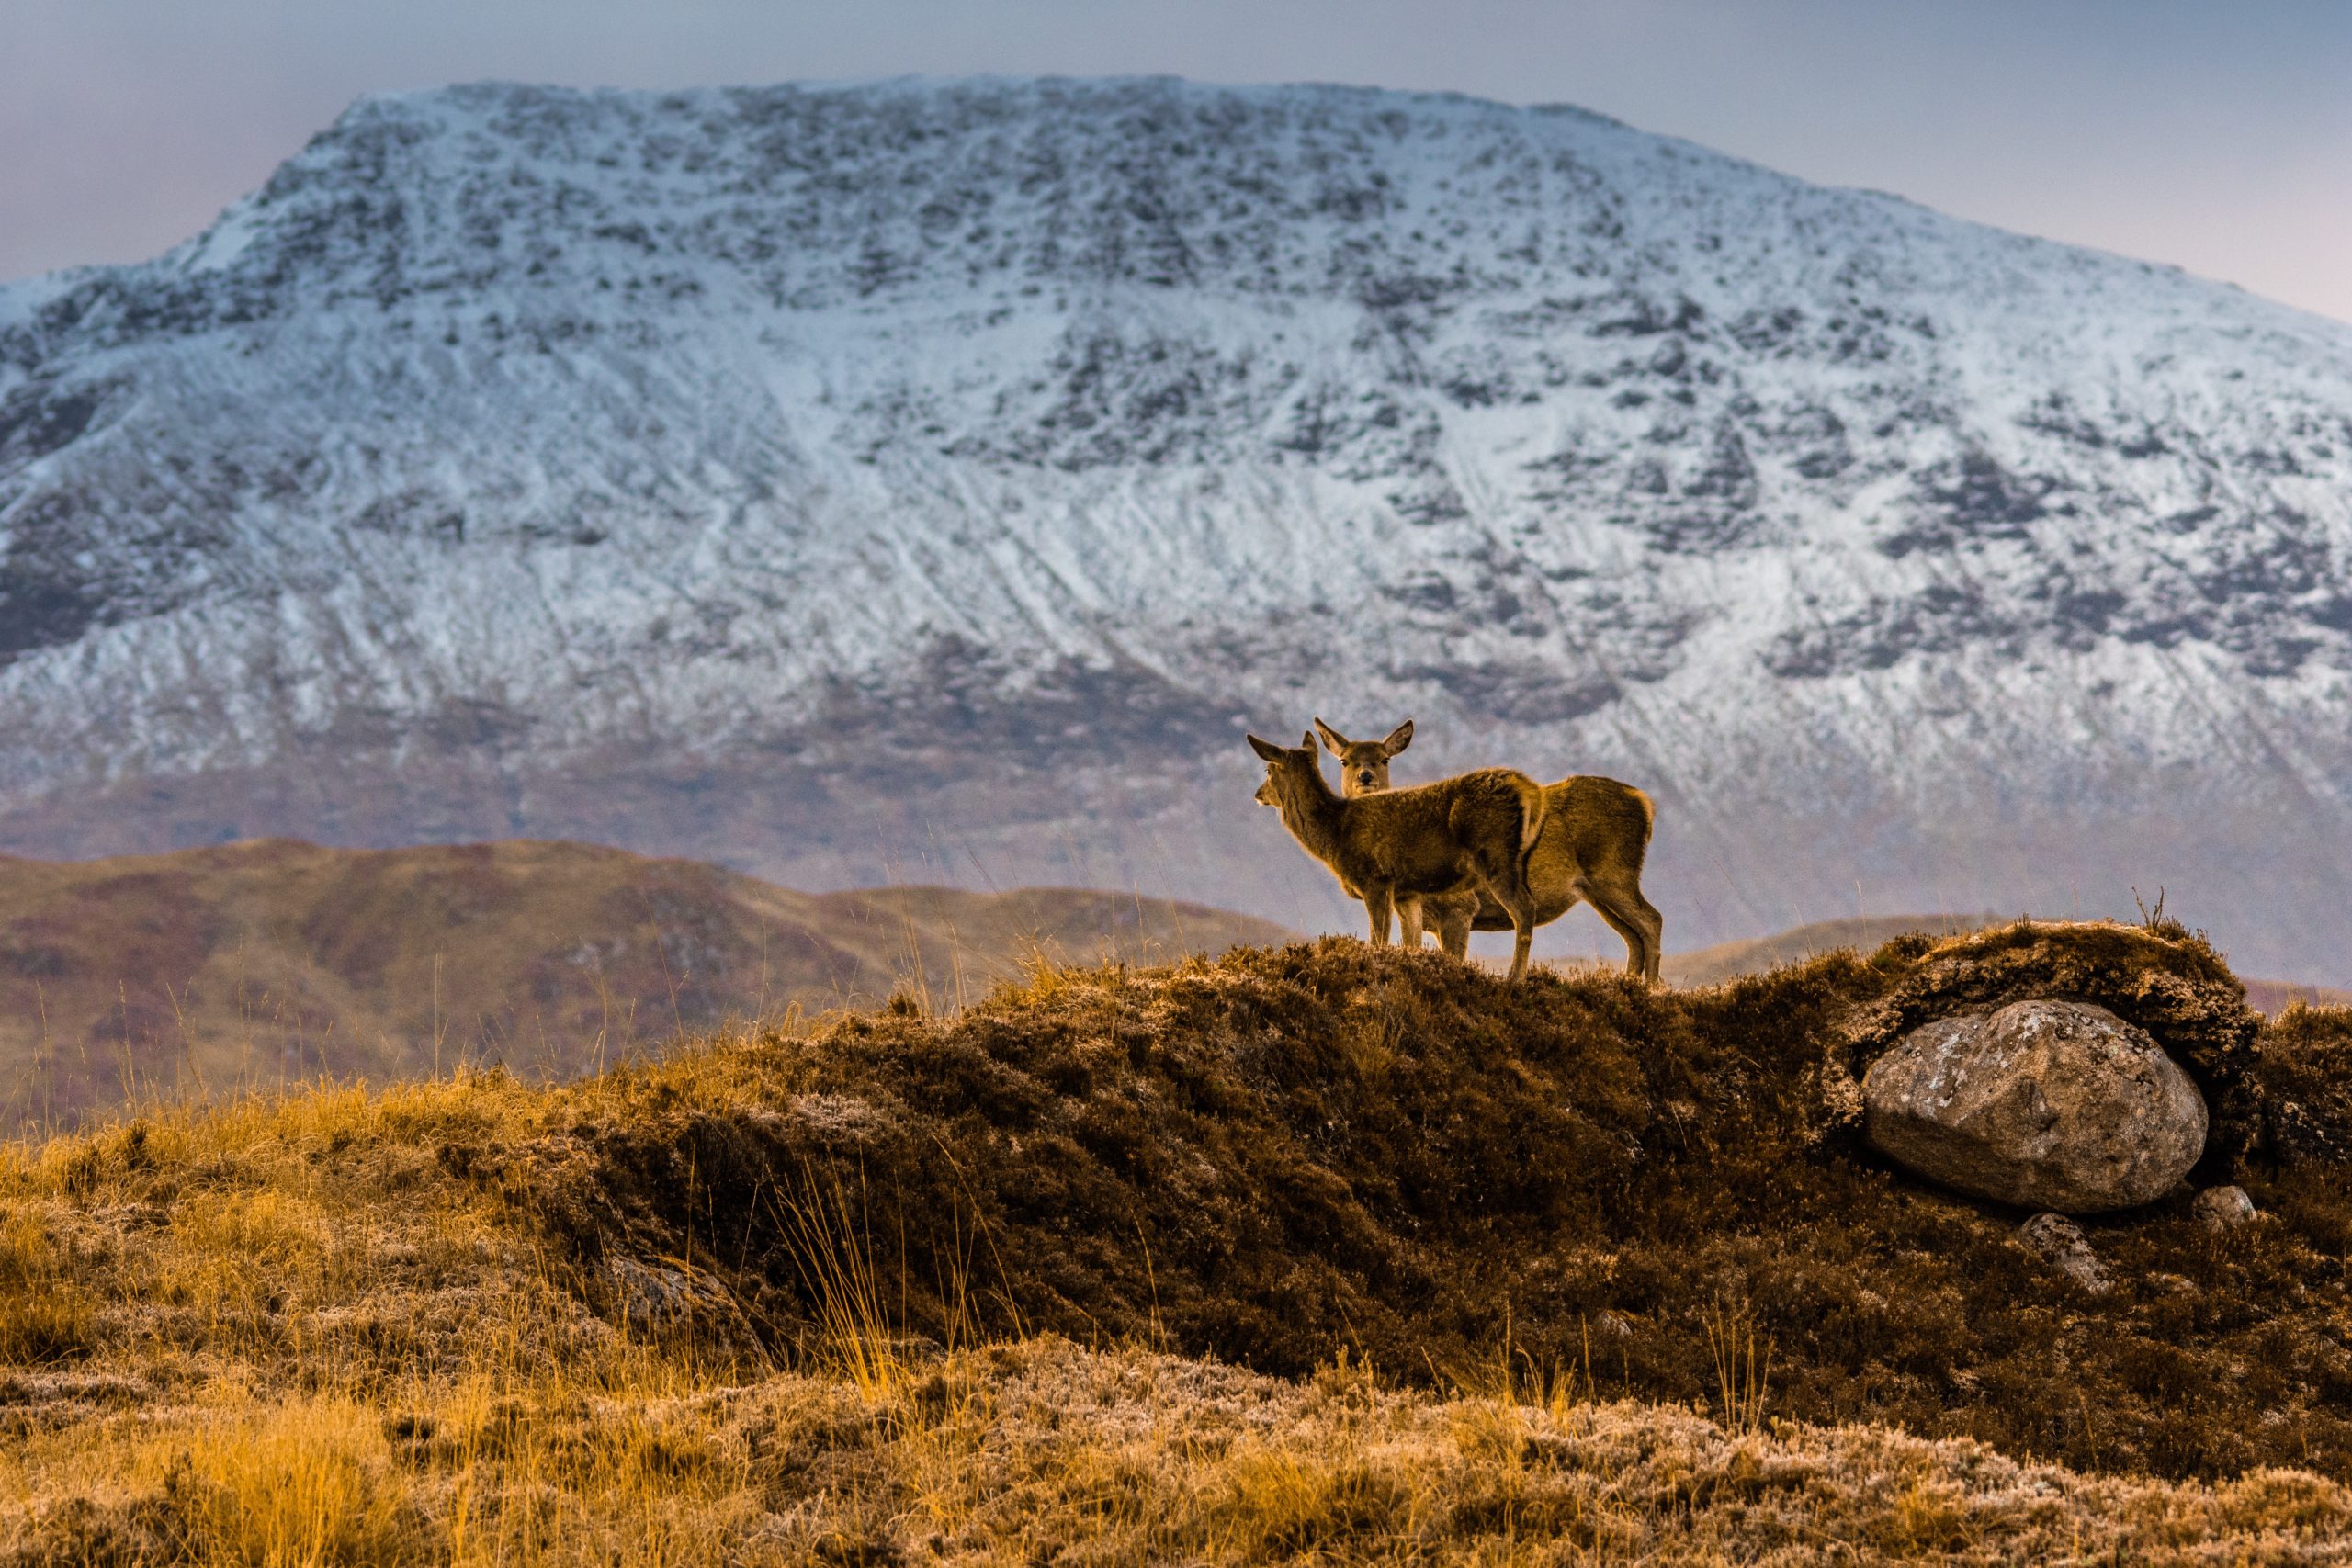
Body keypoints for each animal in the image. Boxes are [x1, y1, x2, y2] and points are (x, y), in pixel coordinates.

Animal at [1241, 733, 1552, 982]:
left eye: (1268, 769)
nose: (1257, 794)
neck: (1335, 834)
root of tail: (1529, 790)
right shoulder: (1406, 892)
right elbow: (1410, 941)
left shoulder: (1375, 879)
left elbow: (1378, 939)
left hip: (1496, 853)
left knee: (1524, 909)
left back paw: (1514, 978)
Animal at [1307, 719, 1674, 982]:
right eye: (1344, 761)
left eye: (1384, 759)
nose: (1366, 776)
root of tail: (1646, 805)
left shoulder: (1459, 907)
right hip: (1595, 890)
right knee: (1633, 936)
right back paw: (1629, 983)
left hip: (1614, 872)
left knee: (1651, 919)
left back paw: (1650, 987)